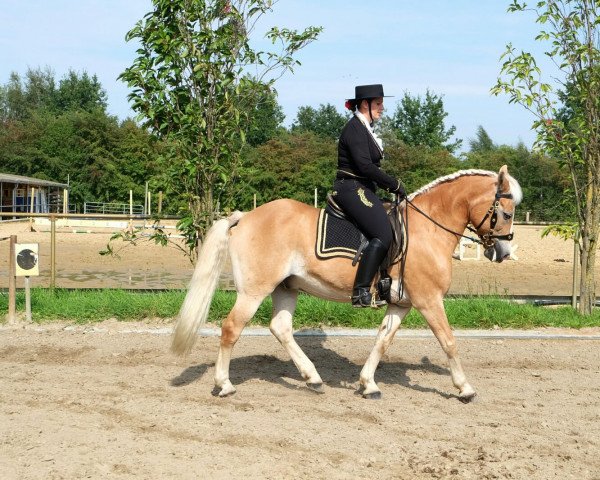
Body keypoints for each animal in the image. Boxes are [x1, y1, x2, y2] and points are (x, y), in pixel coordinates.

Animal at [171, 165, 524, 402]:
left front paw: (368, 384)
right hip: (254, 290)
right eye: (506, 213)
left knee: (281, 328)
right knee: (231, 328)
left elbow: (383, 340)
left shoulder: (402, 303)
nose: (505, 252)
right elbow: (449, 341)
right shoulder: (429, 300)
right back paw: (224, 385)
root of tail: (245, 216)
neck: (427, 229)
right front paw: (465, 388)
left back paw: (313, 378)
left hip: (286, 288)